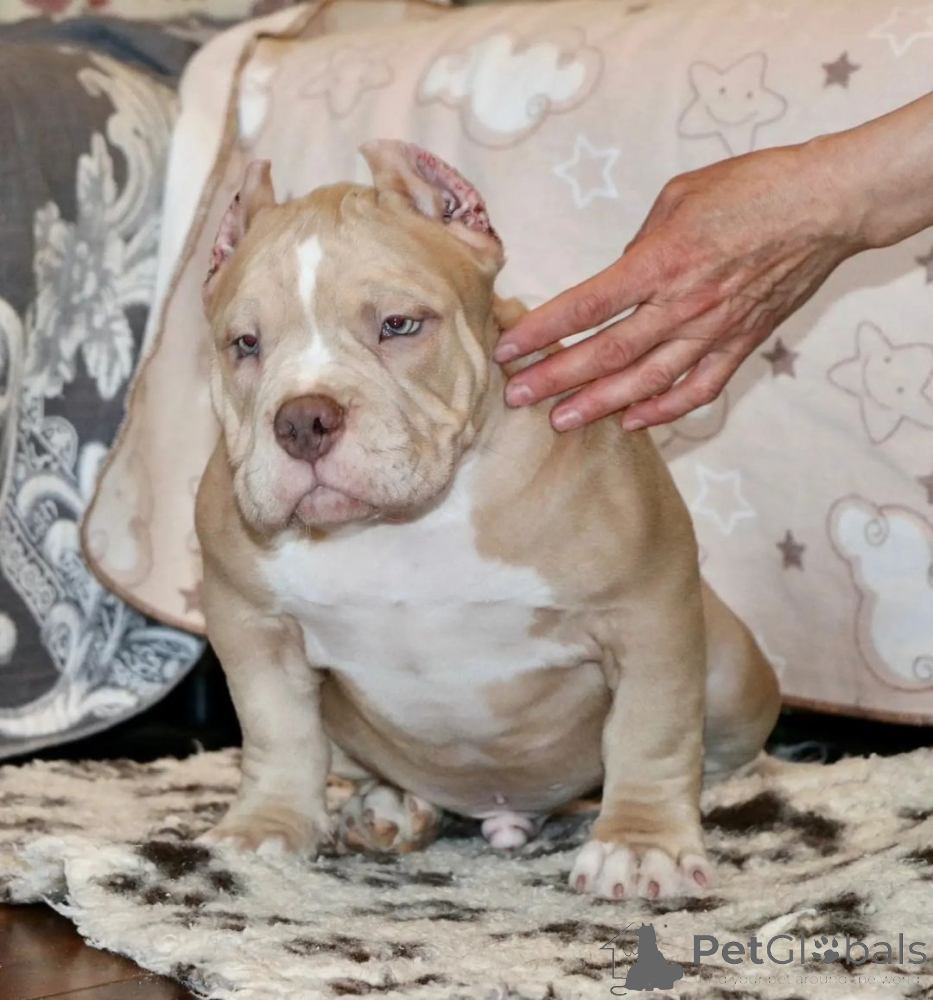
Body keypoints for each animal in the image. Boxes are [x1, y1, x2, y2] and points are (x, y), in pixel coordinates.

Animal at [195, 140, 780, 899]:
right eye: (244, 343)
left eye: (399, 325)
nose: (301, 421)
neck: (397, 524)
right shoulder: (249, 623)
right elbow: (277, 729)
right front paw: (267, 826)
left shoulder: (646, 610)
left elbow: (650, 730)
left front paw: (640, 843)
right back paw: (390, 807)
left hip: (733, 674)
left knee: (718, 750)